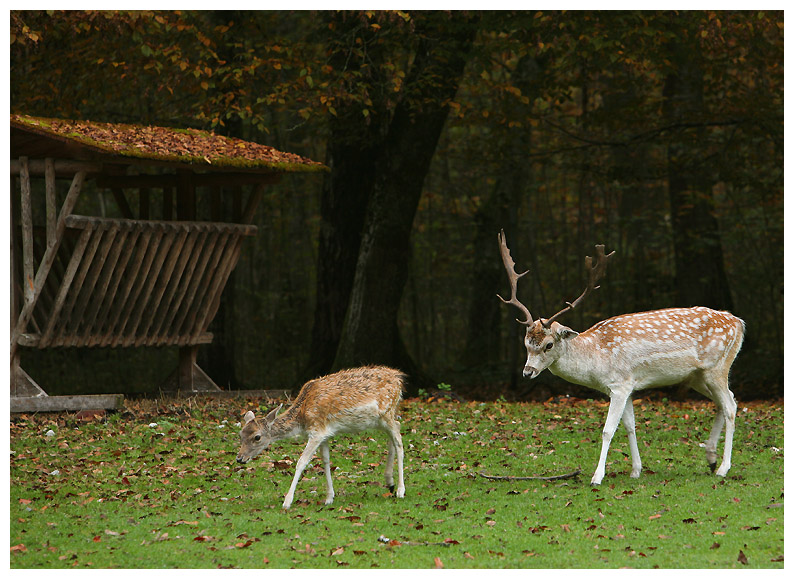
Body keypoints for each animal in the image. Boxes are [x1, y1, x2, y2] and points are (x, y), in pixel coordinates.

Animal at [237, 370, 406, 510]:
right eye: (240, 434)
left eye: (257, 437)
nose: (239, 458)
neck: (302, 417)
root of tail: (399, 379)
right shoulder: (324, 433)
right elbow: (325, 460)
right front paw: (329, 498)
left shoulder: (316, 432)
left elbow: (302, 462)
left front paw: (287, 502)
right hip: (381, 419)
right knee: (395, 431)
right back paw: (390, 482)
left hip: (387, 411)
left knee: (398, 437)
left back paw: (400, 490)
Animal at [496, 230, 744, 484]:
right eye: (526, 343)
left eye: (548, 345)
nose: (528, 372)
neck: (596, 359)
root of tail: (739, 323)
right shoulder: (626, 387)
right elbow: (630, 426)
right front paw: (636, 470)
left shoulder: (620, 385)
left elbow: (608, 430)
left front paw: (597, 476)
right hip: (697, 376)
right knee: (727, 401)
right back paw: (711, 458)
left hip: (717, 367)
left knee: (730, 406)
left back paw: (723, 467)